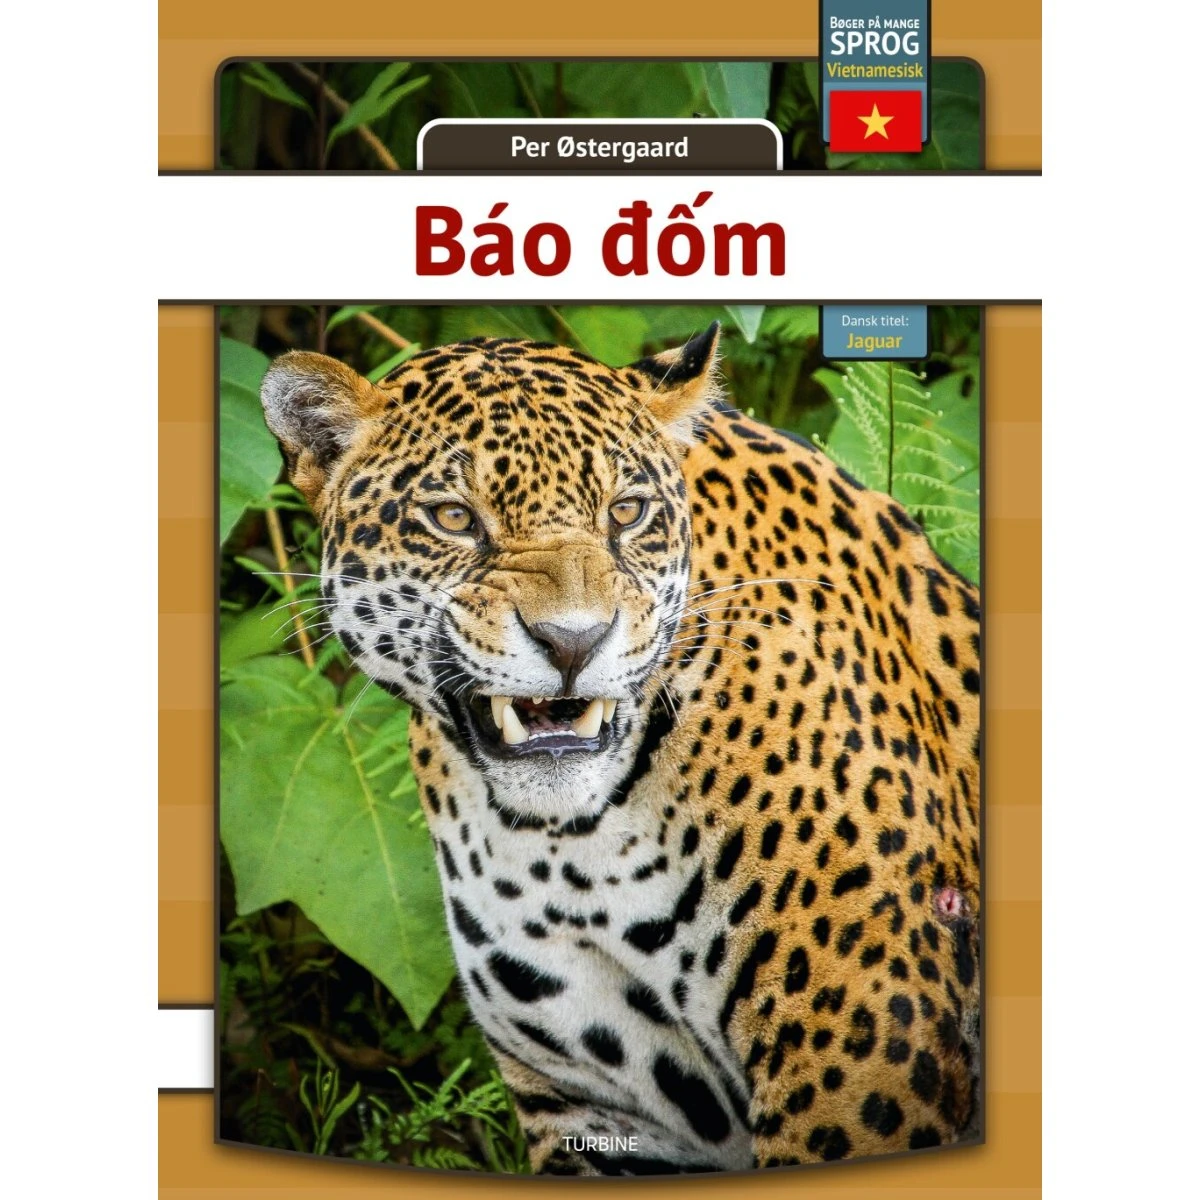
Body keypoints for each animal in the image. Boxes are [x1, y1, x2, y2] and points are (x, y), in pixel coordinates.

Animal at [259, 323, 981, 1175]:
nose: (573, 641)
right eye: (453, 518)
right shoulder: (597, 1106)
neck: (572, 849)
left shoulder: (861, 1059)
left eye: (627, 513)